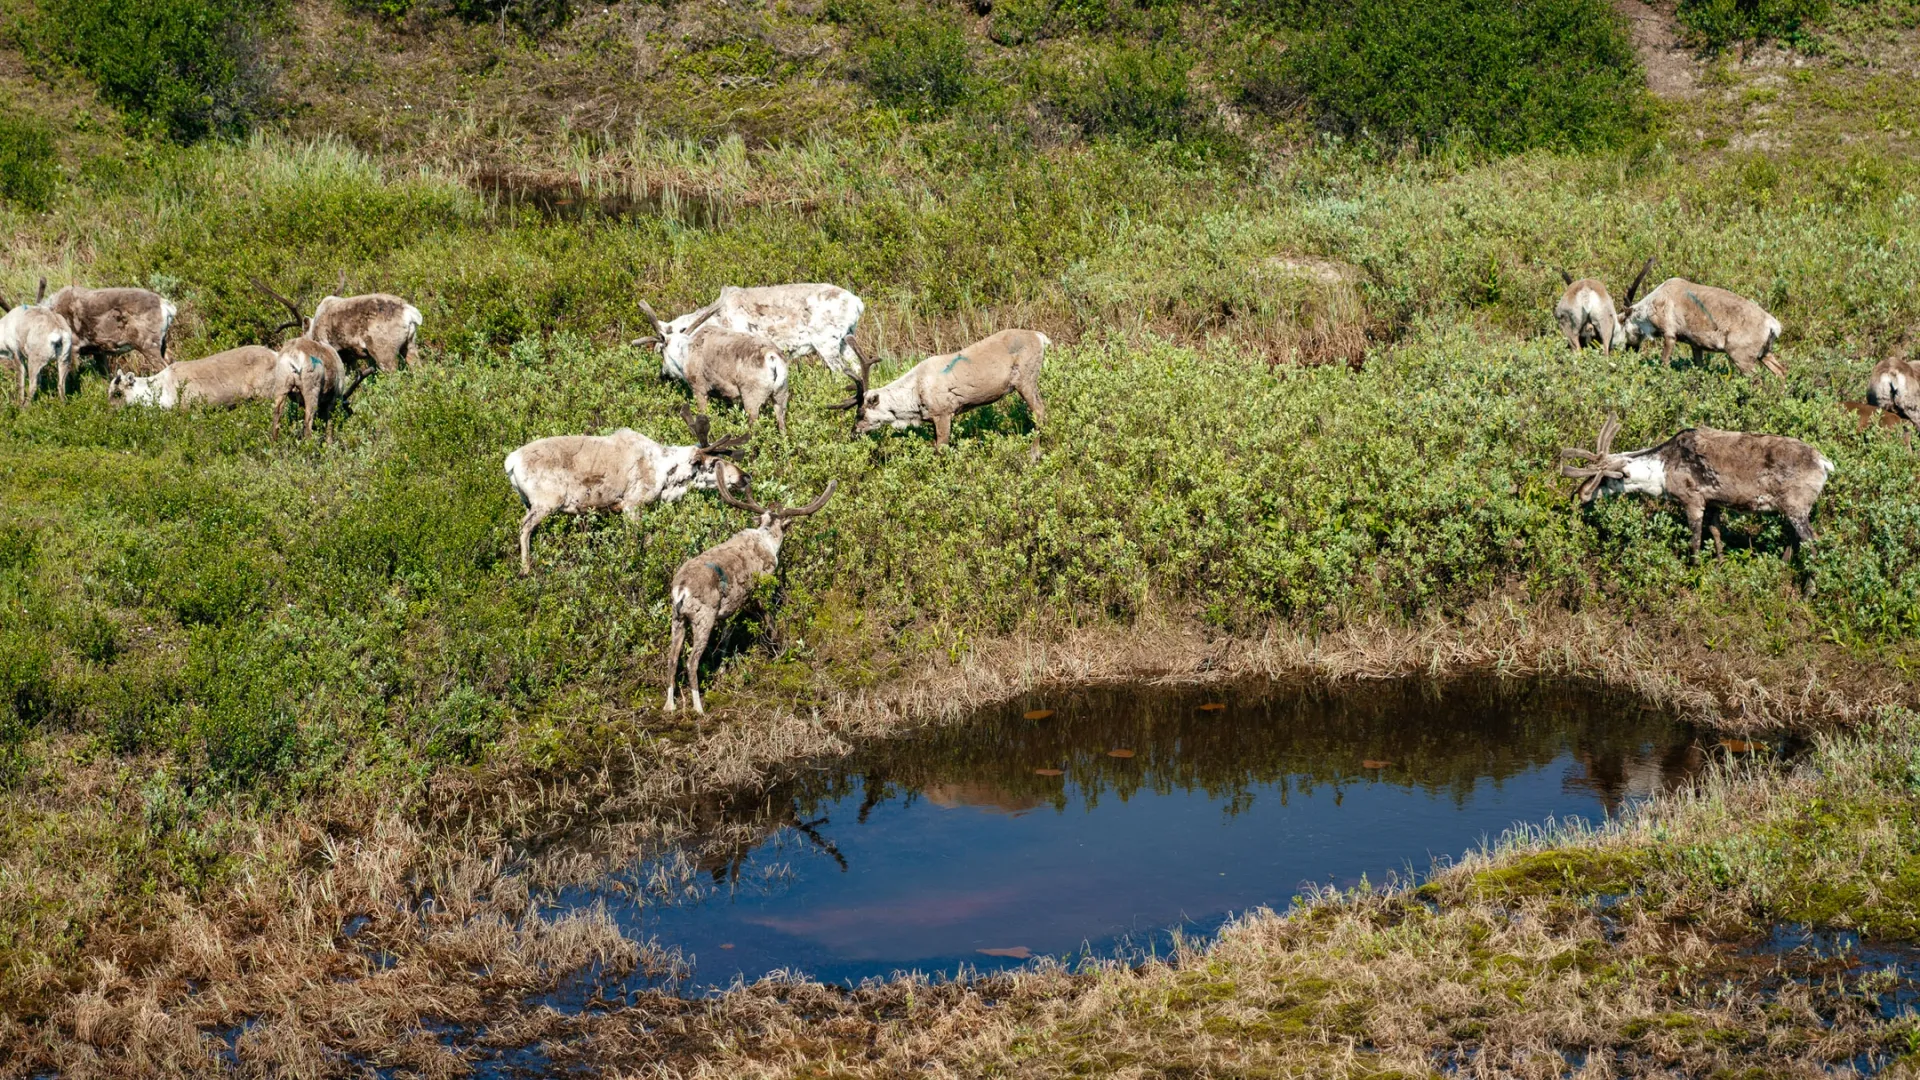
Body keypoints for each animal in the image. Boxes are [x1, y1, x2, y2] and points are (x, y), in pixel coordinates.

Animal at [668, 463, 833, 714]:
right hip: (703, 617)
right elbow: (770, 622)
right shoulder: (760, 589)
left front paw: (723, 668)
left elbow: (726, 639)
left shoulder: (730, 608)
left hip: (677, 619)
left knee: (672, 657)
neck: (769, 540)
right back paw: (699, 708)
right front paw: (778, 652)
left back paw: (669, 705)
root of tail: (681, 589)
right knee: (691, 660)